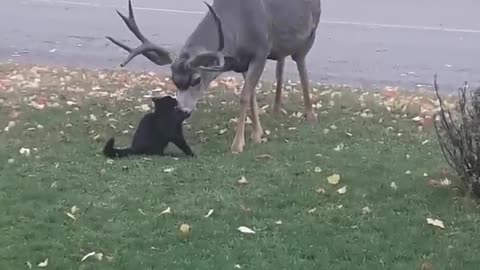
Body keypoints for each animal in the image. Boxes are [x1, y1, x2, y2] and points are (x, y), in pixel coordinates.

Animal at [107, 0, 320, 153]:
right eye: (173, 80)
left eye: (197, 79)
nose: (182, 111)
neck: (237, 28)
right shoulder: (240, 62)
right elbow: (251, 95)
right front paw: (258, 133)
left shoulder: (261, 51)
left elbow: (244, 96)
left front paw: (238, 144)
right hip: (281, 46)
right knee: (281, 61)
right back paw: (277, 108)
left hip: (310, 33)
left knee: (301, 65)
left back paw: (310, 114)